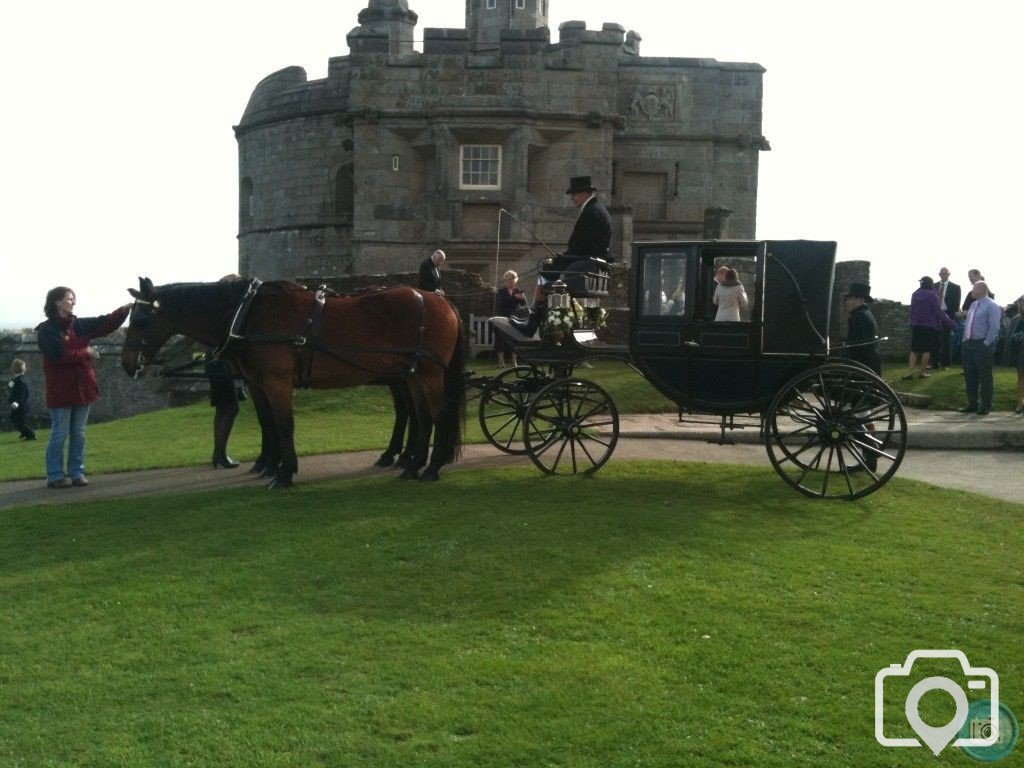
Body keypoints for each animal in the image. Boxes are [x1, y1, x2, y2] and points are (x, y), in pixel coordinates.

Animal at [120, 280, 468, 489]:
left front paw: (284, 472)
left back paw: (431, 467)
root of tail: (441, 300)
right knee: (421, 418)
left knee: (437, 416)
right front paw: (269, 464)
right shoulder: (259, 382)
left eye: (140, 320)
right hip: (412, 375)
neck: (247, 313)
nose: (126, 364)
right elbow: (268, 424)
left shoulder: (276, 381)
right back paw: (412, 464)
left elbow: (283, 425)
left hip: (427, 374)